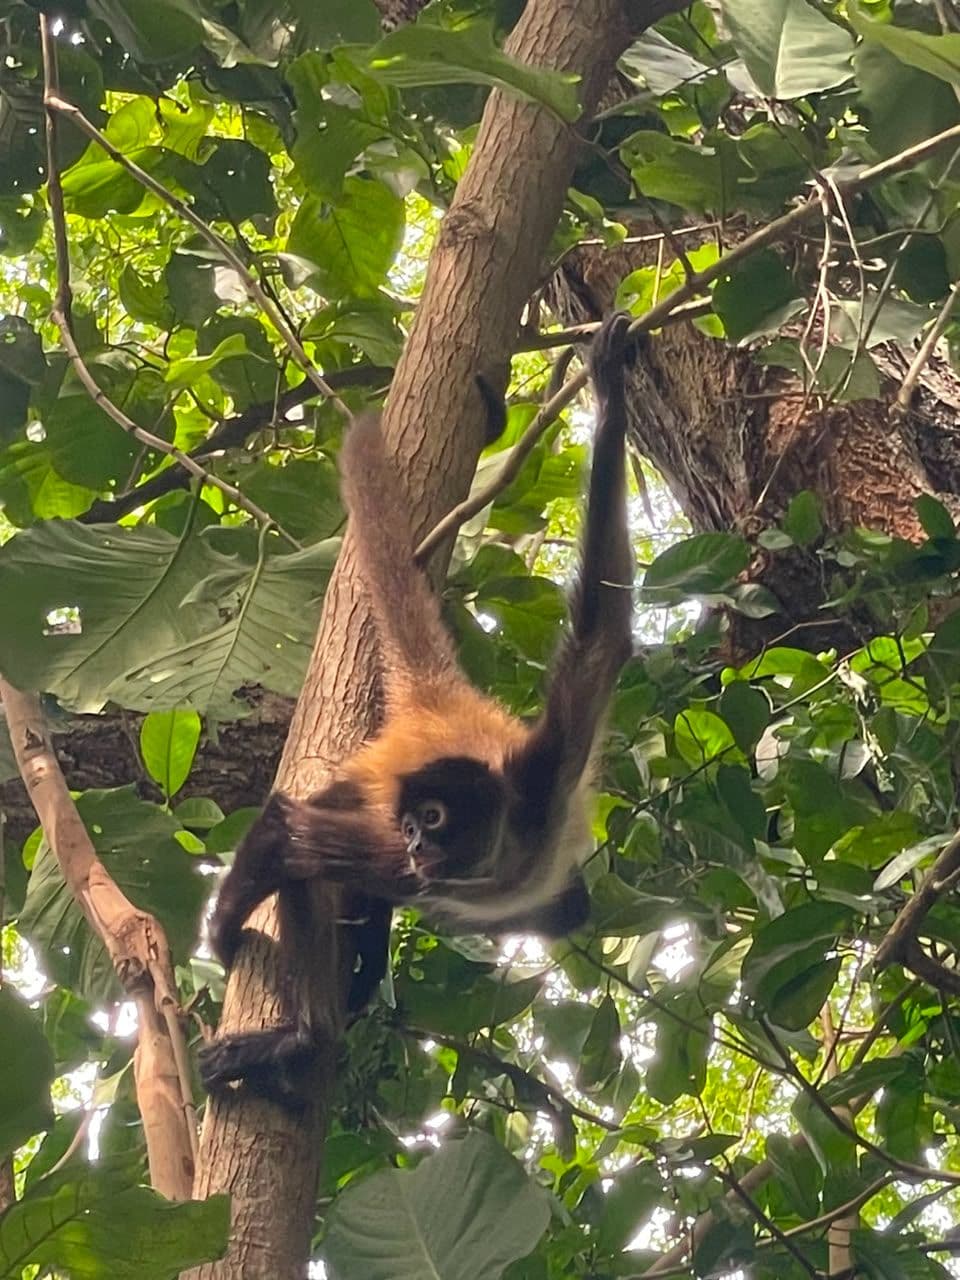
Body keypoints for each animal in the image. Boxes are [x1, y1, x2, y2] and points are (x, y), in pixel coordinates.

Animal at [199, 312, 636, 1098]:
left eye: (433, 819)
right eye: (410, 826)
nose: (415, 843)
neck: (500, 862)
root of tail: (438, 703)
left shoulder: (544, 778)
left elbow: (602, 638)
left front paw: (613, 393)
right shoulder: (421, 848)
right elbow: (286, 833)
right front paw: (232, 947)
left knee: (565, 906)